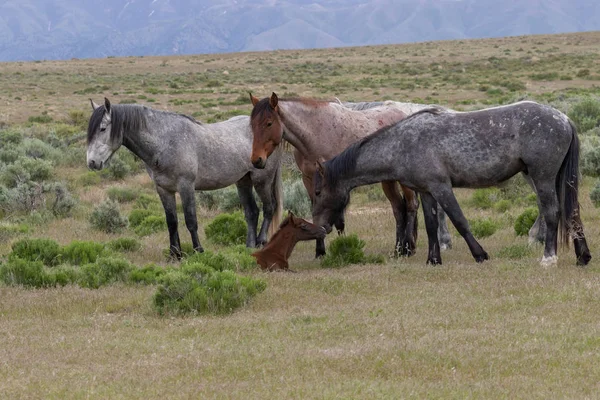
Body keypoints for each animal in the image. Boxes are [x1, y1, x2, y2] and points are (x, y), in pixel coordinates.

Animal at [86, 98, 284, 258]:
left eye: (103, 128)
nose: (92, 162)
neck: (165, 143)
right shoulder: (164, 189)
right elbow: (172, 222)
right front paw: (175, 254)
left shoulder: (186, 186)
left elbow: (190, 220)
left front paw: (198, 251)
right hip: (243, 181)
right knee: (252, 212)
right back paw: (249, 246)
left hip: (262, 180)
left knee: (269, 208)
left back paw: (261, 242)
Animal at [248, 92, 450, 258]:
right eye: (252, 125)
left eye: (269, 123)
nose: (256, 160)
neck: (314, 133)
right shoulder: (309, 180)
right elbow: (317, 211)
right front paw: (320, 250)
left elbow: (339, 218)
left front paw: (342, 245)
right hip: (388, 181)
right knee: (398, 208)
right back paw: (399, 249)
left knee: (411, 206)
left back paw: (407, 248)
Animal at [314, 101, 592, 268]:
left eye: (317, 191)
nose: (320, 227)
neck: (402, 143)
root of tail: (564, 119)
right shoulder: (426, 191)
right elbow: (431, 225)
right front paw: (433, 259)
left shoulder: (441, 187)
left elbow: (459, 220)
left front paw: (480, 254)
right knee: (572, 212)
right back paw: (583, 257)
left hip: (542, 177)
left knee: (552, 212)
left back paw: (548, 257)